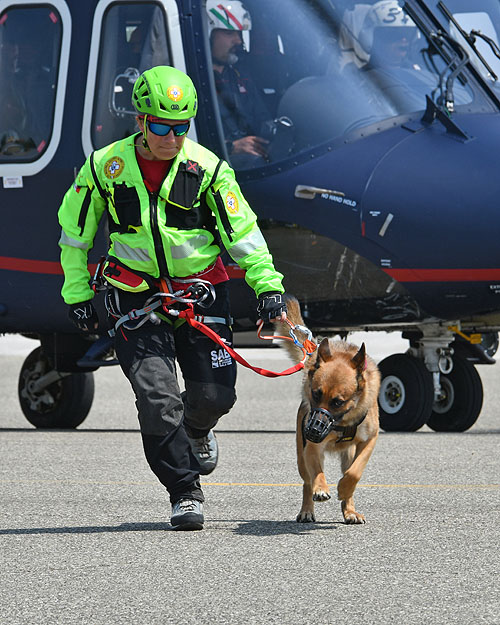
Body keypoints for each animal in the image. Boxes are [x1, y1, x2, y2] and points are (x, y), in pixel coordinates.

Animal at [278, 294, 378, 524]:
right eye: (316, 394)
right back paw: (307, 510)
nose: (312, 431)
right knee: (307, 482)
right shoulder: (313, 449)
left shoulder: (369, 441)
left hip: (348, 454)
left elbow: (355, 473)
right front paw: (321, 489)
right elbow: (317, 473)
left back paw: (349, 510)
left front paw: (344, 489)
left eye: (338, 402)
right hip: (301, 456)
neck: (344, 421)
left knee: (349, 476)